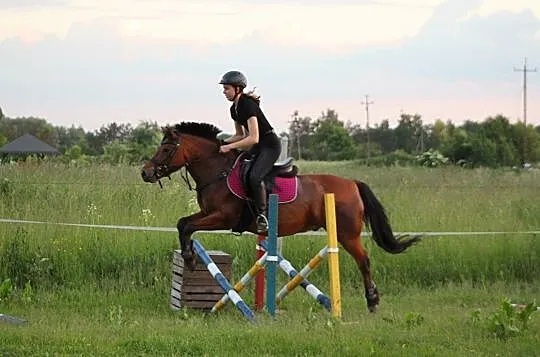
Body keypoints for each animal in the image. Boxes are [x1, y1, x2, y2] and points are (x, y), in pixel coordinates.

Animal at [141, 122, 420, 312]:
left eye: (166, 148)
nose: (146, 172)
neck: (218, 171)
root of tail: (352, 183)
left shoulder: (222, 218)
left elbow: (187, 226)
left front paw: (189, 258)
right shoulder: (208, 213)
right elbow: (183, 224)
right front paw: (188, 257)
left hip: (347, 234)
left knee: (364, 261)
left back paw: (372, 300)